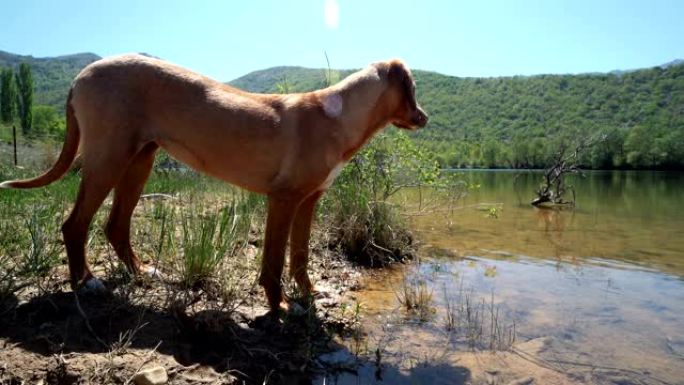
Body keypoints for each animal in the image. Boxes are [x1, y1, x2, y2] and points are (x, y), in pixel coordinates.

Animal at [1, 54, 428, 312]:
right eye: (413, 88)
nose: (424, 118)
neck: (336, 116)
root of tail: (81, 76)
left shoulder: (309, 200)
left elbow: (300, 256)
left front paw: (308, 296)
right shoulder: (283, 199)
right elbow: (274, 262)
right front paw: (279, 306)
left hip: (139, 160)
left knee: (115, 226)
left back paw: (141, 273)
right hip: (108, 159)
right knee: (74, 224)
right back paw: (85, 283)